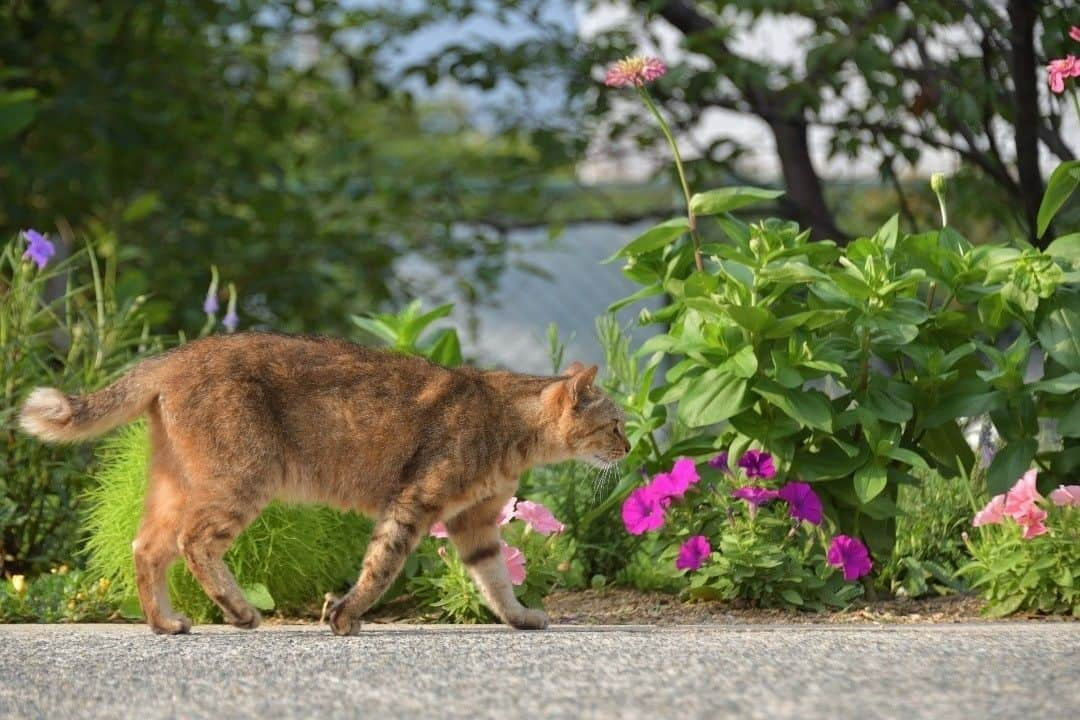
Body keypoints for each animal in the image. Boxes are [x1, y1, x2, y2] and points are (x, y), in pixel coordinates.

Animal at [19, 332, 630, 634]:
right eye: (616, 423)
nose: (630, 447)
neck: (509, 424)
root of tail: (173, 357)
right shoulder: (414, 502)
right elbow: (381, 567)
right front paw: (345, 615)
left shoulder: (473, 522)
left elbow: (497, 581)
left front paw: (521, 617)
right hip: (241, 479)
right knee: (194, 543)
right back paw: (239, 612)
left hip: (179, 484)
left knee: (146, 546)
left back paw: (166, 624)